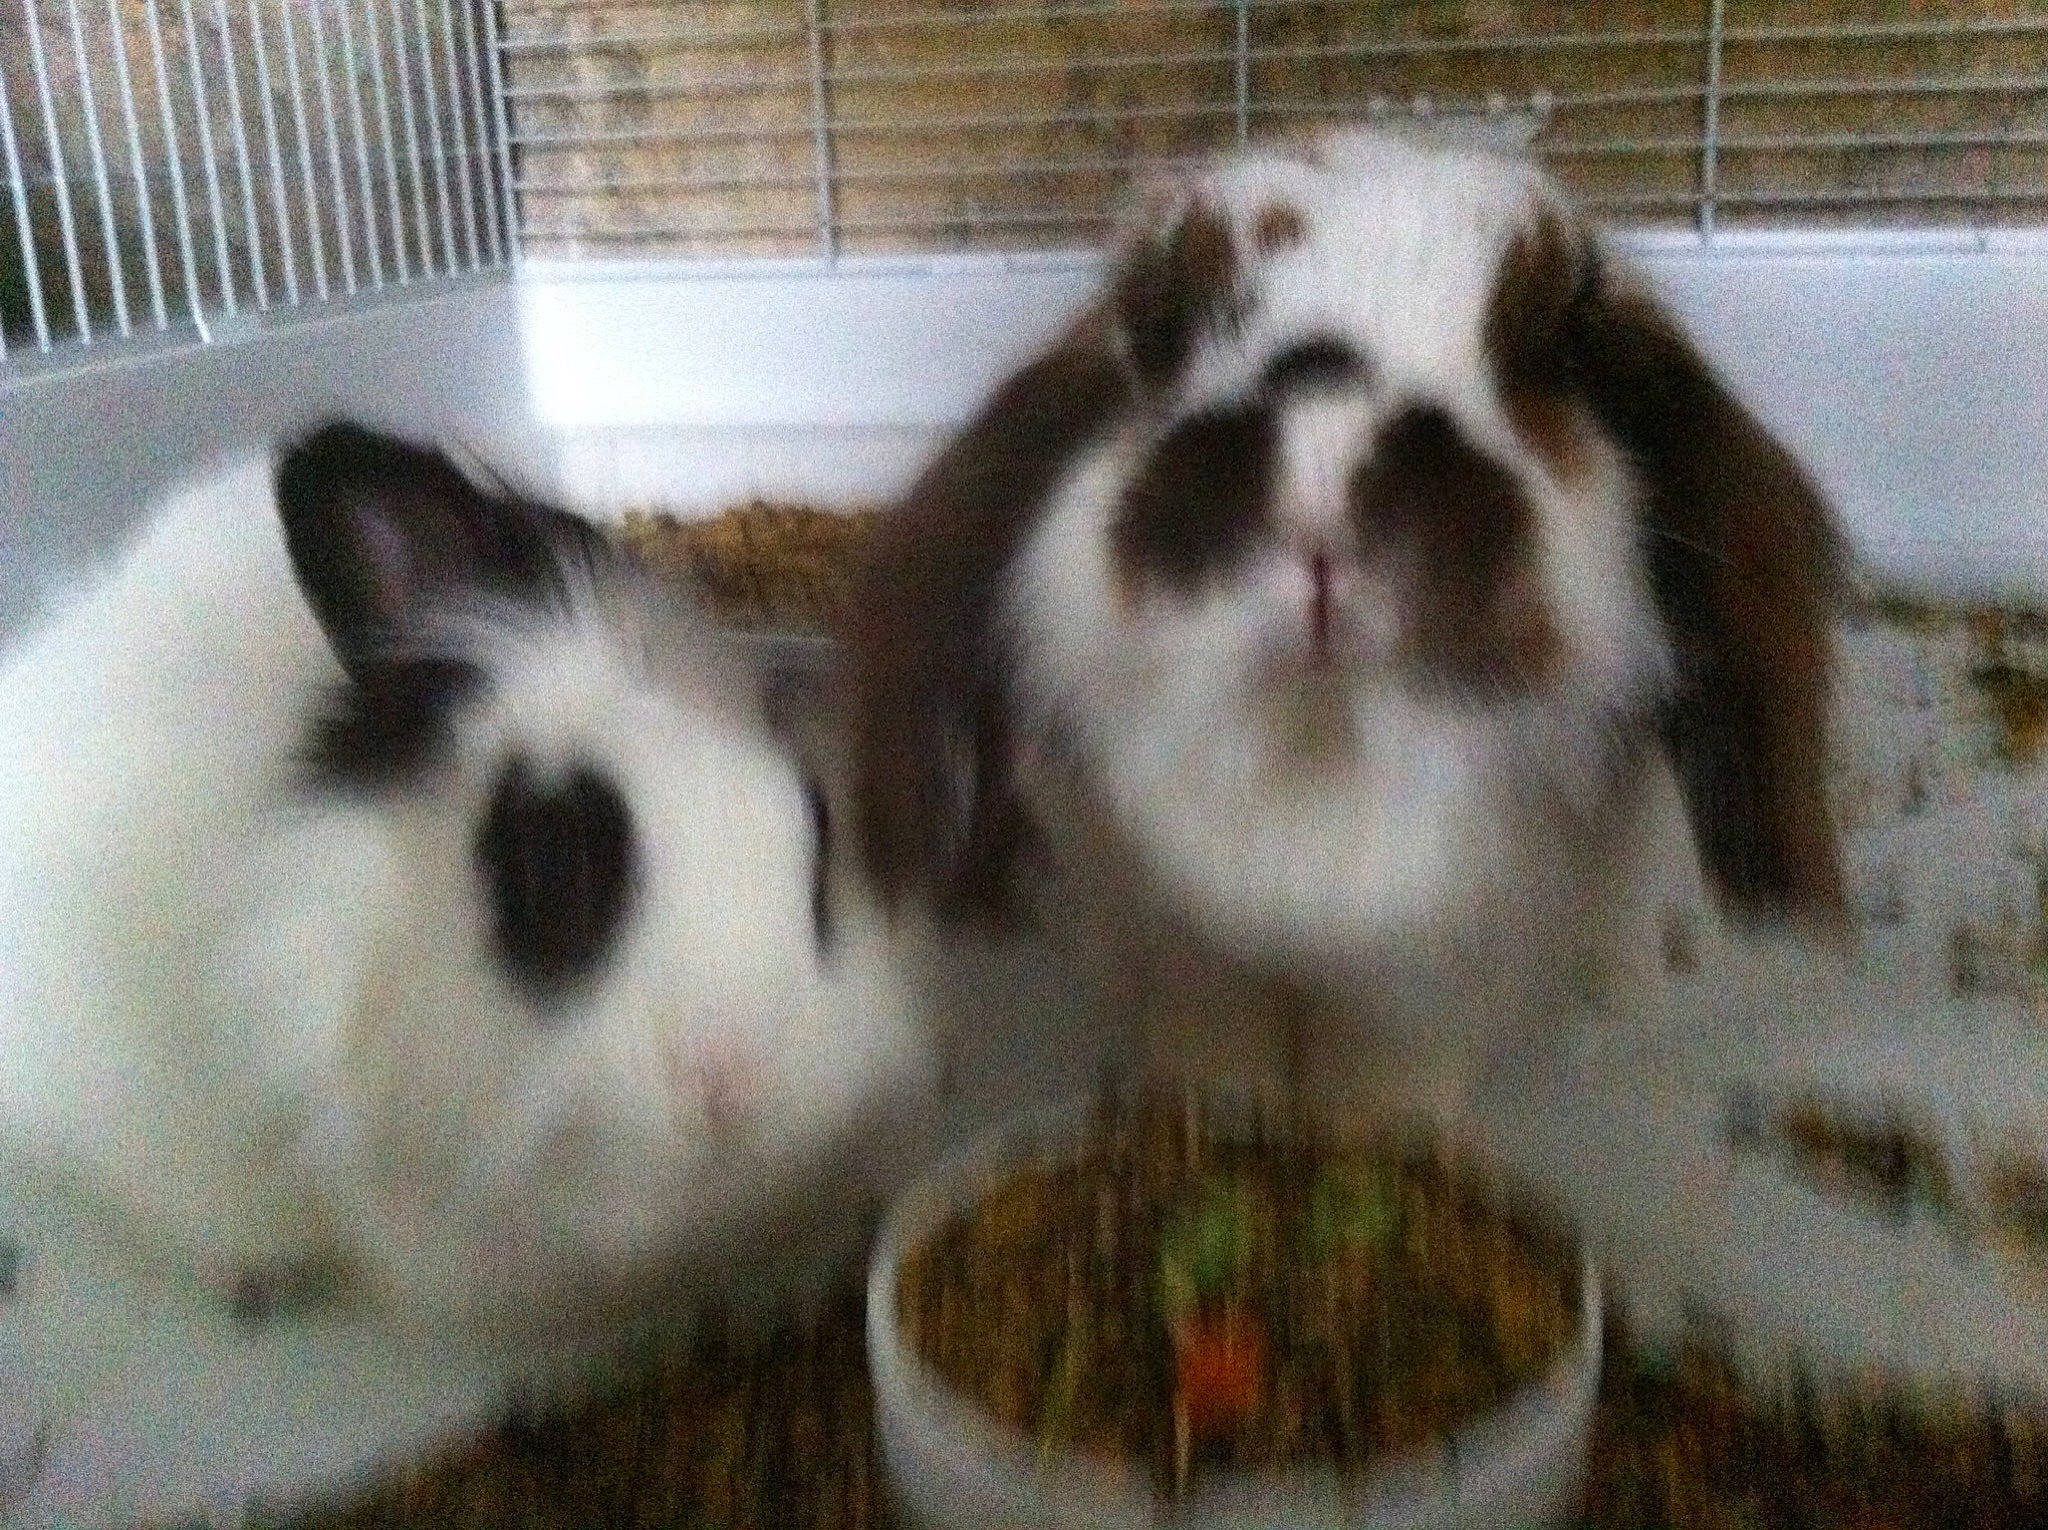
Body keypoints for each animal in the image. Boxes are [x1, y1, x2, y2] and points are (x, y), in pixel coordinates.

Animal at [844, 124, 1846, 1131]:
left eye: (1561, 349)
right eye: (1161, 330)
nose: (1321, 473)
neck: (1326, 744)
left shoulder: (1445, 973)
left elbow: (1392, 1066)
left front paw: (1384, 1137)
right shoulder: (1173, 940)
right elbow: (1211, 1029)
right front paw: (1209, 1116)